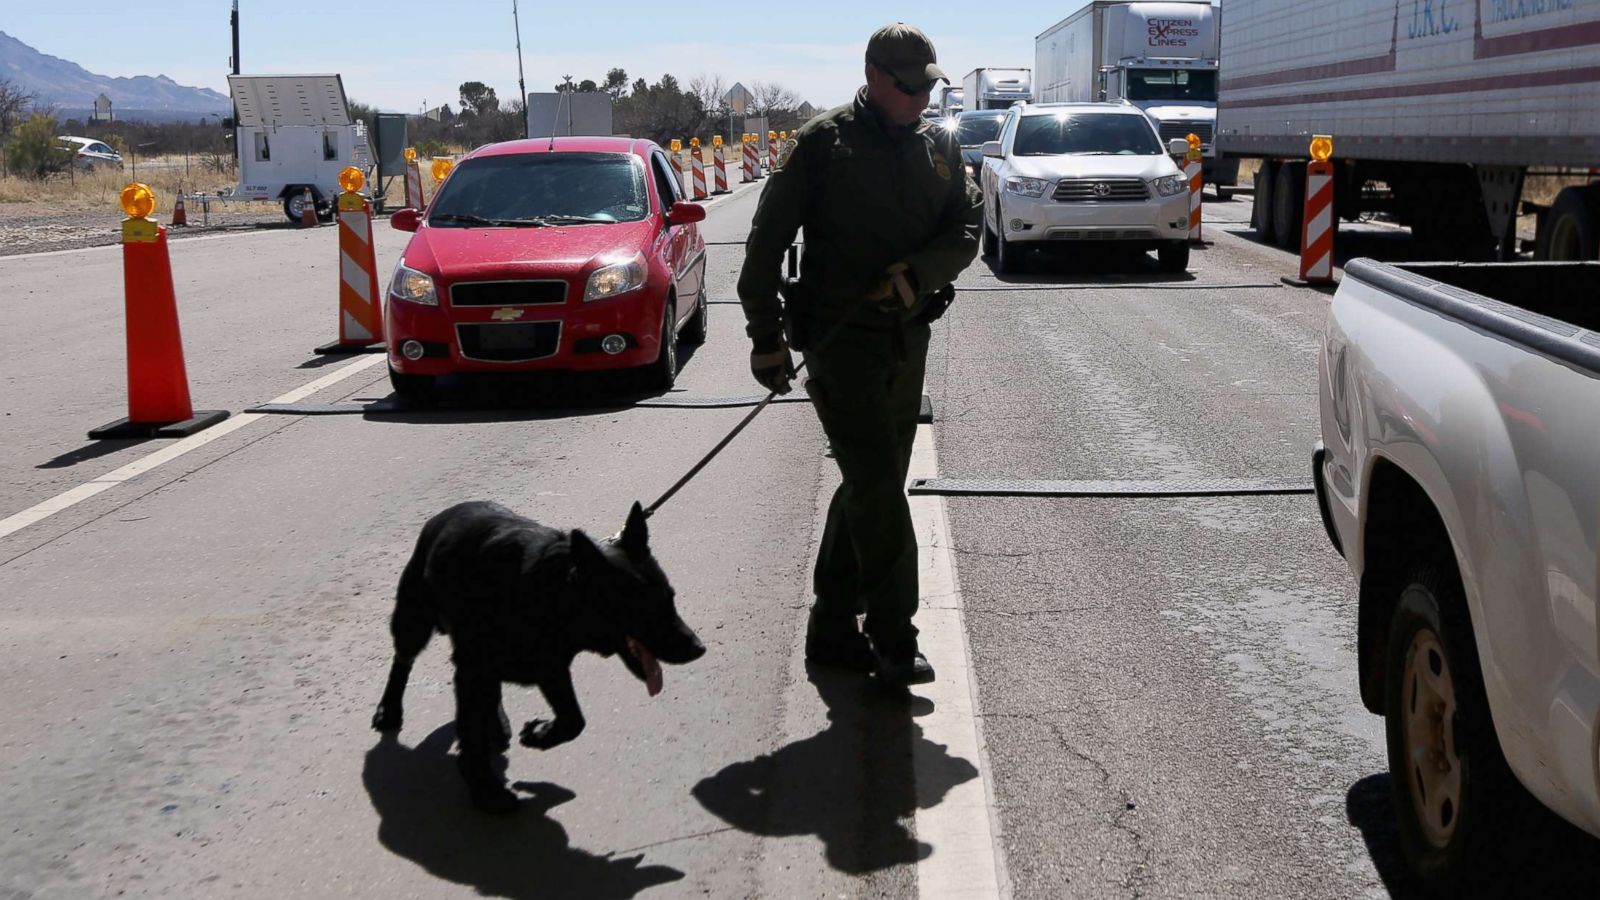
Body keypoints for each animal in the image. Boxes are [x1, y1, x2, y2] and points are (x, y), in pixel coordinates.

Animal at [374, 499, 707, 810]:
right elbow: (472, 739)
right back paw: (389, 709)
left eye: (670, 599)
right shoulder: (475, 670)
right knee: (402, 661)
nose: (699, 648)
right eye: (644, 609)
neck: (551, 592)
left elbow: (574, 719)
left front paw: (540, 735)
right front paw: (487, 792)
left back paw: (497, 723)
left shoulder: (551, 666)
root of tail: (449, 511)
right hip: (412, 622)